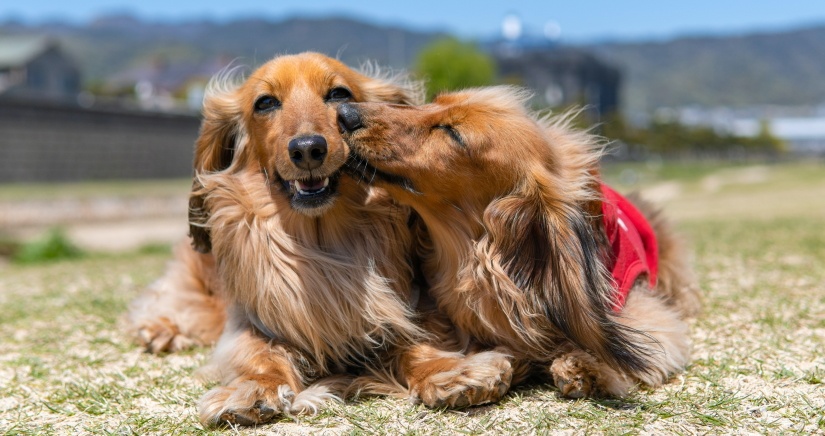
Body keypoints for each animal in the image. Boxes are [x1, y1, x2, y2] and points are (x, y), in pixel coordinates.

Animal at [338, 86, 700, 402]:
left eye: (453, 133)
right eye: (431, 102)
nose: (344, 112)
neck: (477, 260)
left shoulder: (638, 307)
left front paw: (588, 365)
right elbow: (409, 349)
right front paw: (450, 375)